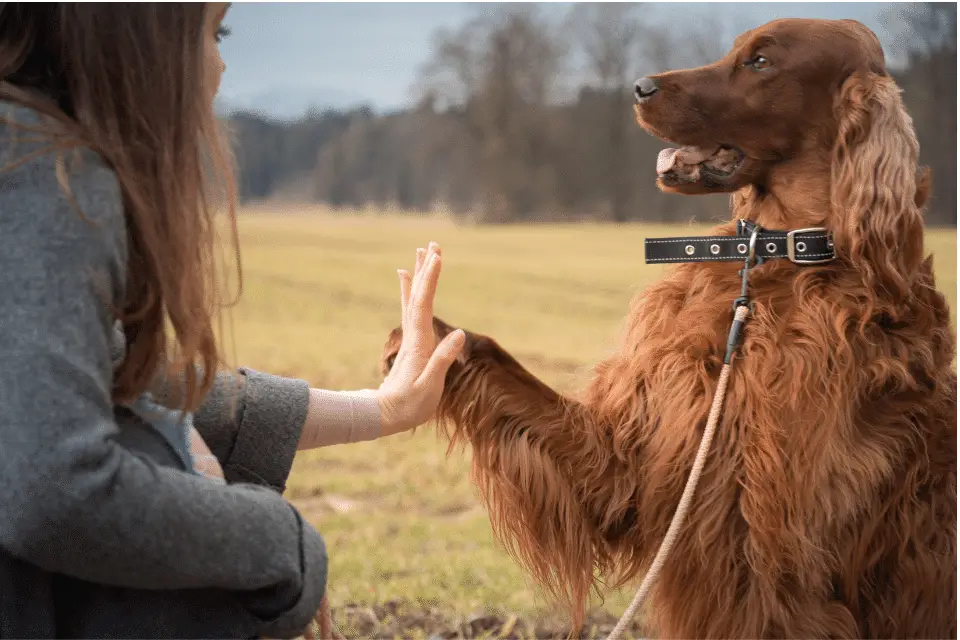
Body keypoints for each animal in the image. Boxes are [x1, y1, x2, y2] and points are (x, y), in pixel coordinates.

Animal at [380, 17, 952, 636]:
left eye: (761, 61)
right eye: (735, 49)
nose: (639, 87)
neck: (770, 263)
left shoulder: (778, 564)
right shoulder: (630, 463)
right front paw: (424, 342)